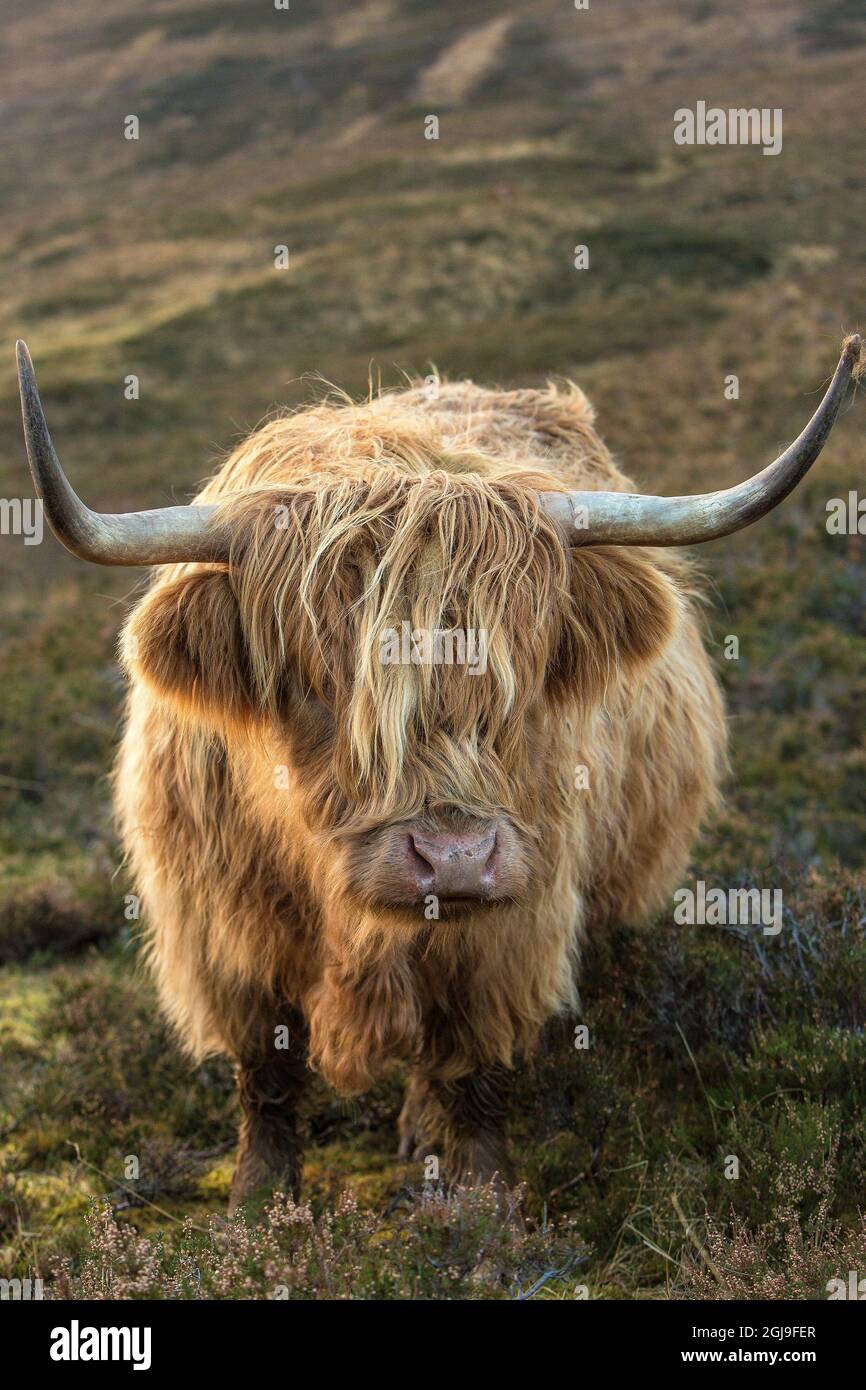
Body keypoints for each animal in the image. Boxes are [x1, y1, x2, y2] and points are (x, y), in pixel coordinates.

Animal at [16, 334, 861, 1211]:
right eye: (313, 684)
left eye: (520, 679)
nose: (453, 859)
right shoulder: (221, 928)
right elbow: (266, 1072)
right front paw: (256, 1202)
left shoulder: (513, 923)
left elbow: (475, 1070)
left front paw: (485, 1210)